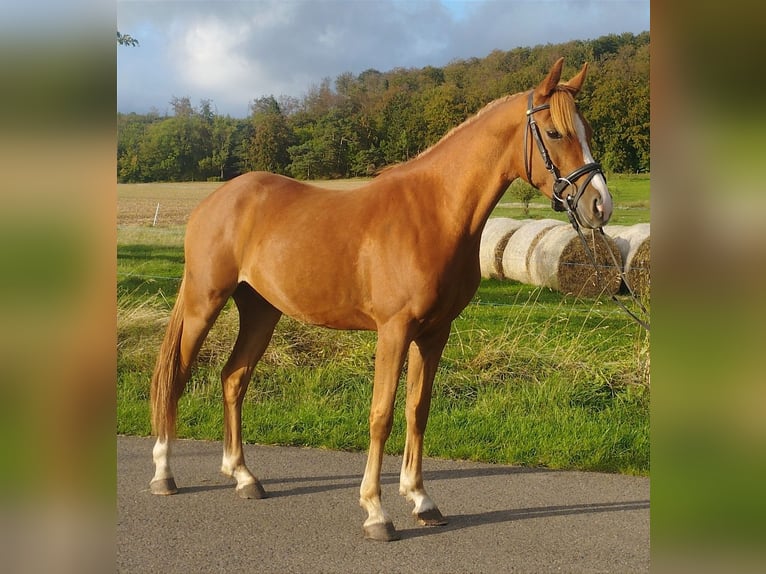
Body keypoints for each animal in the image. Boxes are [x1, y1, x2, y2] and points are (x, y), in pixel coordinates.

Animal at [148, 57, 613, 541]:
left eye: (587, 129)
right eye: (555, 132)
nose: (600, 205)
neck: (435, 213)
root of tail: (215, 201)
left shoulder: (434, 333)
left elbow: (417, 410)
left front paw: (422, 500)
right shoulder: (394, 331)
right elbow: (381, 415)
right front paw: (376, 511)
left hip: (260, 311)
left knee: (233, 379)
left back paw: (243, 476)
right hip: (204, 302)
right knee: (176, 375)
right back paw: (164, 473)